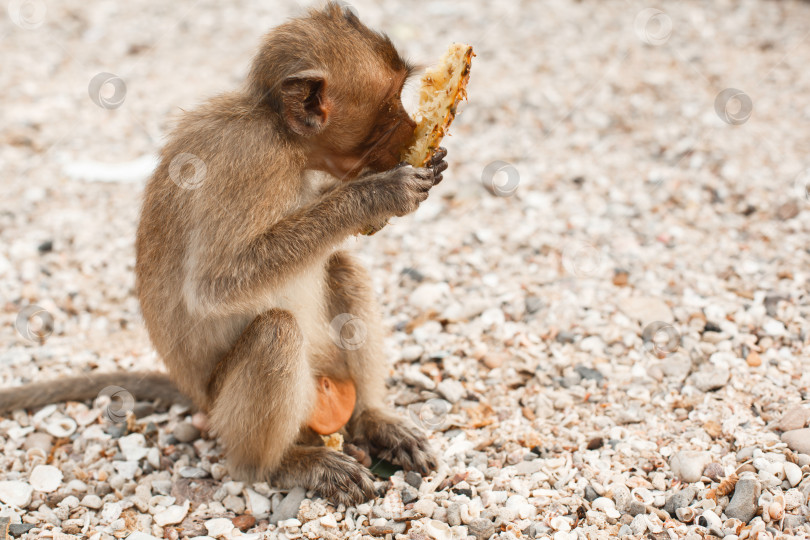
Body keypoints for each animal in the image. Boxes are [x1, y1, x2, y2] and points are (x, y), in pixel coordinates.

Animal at [0, 3, 446, 506]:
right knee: (276, 333)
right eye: (390, 105)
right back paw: (284, 464)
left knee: (344, 269)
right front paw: (377, 196)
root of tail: (200, 400)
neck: (284, 137)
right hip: (227, 410)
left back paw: (371, 419)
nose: (413, 128)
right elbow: (214, 287)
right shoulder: (251, 163)